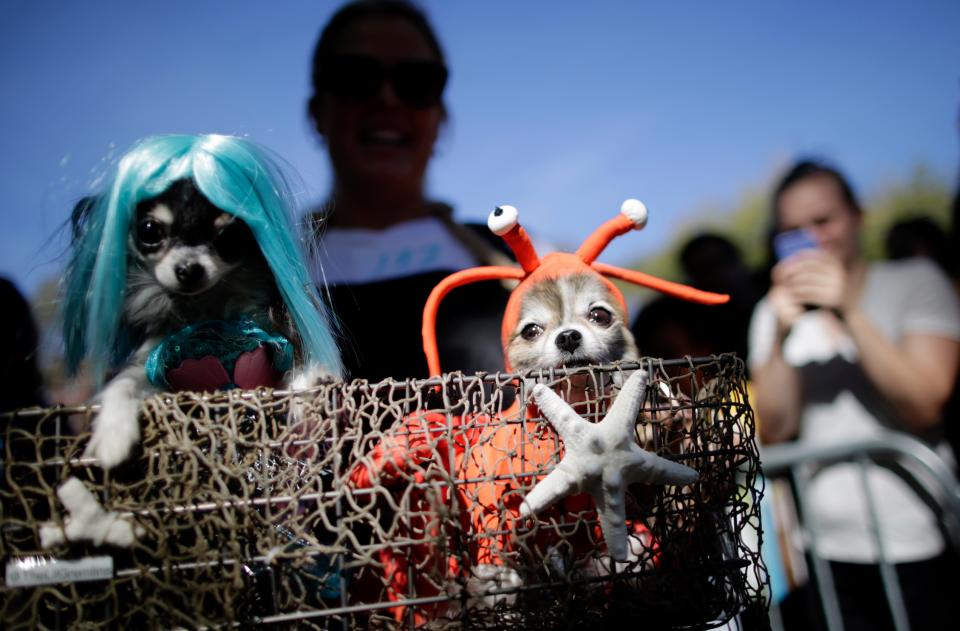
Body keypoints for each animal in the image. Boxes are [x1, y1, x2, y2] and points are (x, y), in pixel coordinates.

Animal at [63, 133, 344, 470]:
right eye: (149, 231)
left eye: (228, 237)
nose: (188, 269)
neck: (207, 310)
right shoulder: (154, 367)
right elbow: (124, 382)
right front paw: (113, 433)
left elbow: (297, 375)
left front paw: (309, 393)